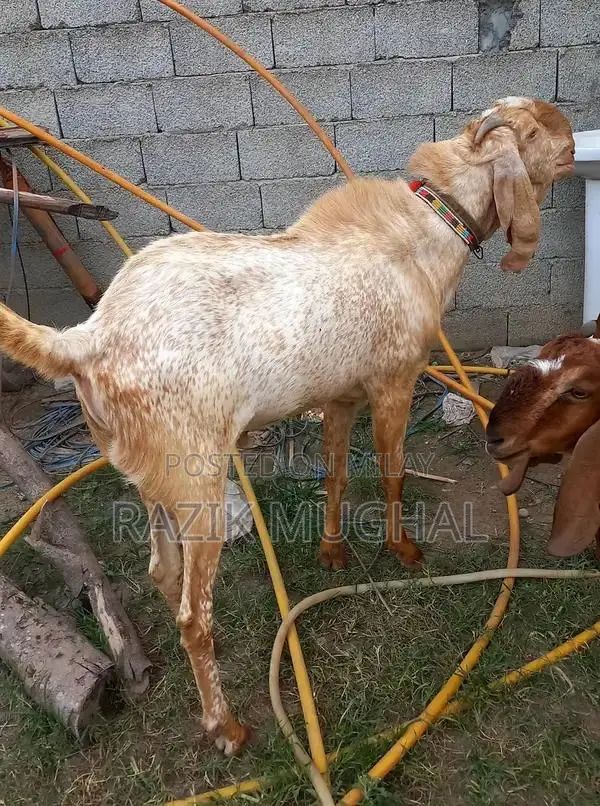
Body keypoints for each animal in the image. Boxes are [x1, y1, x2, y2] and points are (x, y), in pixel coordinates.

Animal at [0, 97, 574, 754]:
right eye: (535, 129)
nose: (573, 142)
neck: (426, 230)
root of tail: (88, 339)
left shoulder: (341, 397)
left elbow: (335, 475)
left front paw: (333, 553)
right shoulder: (394, 382)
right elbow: (393, 472)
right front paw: (403, 550)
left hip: (154, 476)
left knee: (164, 573)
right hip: (199, 479)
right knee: (192, 614)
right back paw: (225, 725)